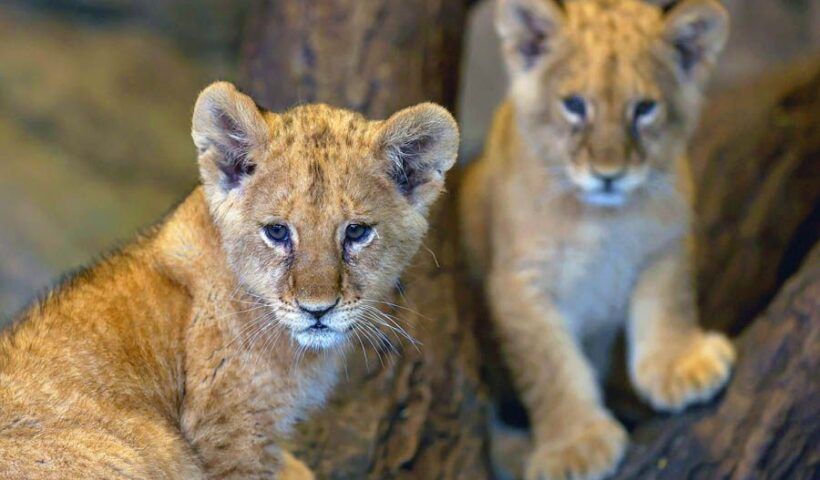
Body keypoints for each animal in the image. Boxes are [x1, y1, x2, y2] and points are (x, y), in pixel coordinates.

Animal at [460, 1, 734, 479]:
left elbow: (669, 302)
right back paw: (515, 450)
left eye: (644, 108)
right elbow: (549, 367)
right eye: (574, 105)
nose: (610, 174)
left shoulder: (665, 242)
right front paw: (574, 445)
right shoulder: (518, 283)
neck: (603, 219)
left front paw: (679, 365)